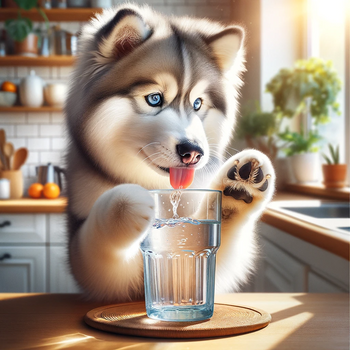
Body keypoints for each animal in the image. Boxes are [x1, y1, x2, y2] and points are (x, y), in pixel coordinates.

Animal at [65, 2, 274, 302]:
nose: (193, 153)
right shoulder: (105, 277)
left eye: (197, 103)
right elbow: (98, 249)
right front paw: (129, 201)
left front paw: (235, 194)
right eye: (154, 99)